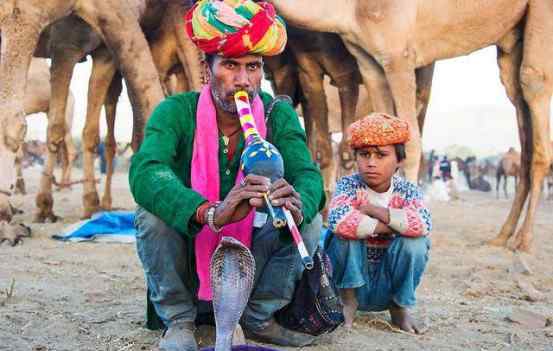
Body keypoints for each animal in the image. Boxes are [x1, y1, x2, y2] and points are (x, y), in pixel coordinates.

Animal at [270, 0, 552, 253]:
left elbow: (412, 141)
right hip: (510, 42)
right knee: (519, 108)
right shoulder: (369, 62)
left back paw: (523, 241)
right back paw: (503, 235)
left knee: (533, 82)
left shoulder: (398, 56)